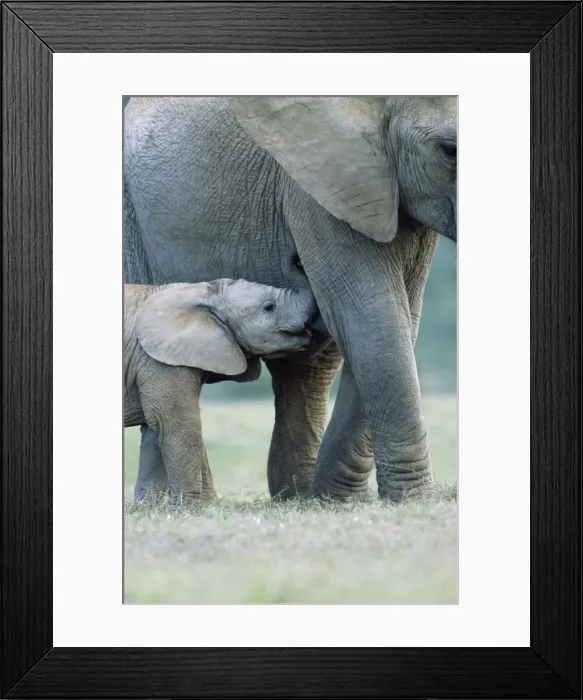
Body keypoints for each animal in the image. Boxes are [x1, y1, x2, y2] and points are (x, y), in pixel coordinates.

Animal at [124, 278, 319, 501]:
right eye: (269, 307)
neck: (206, 293)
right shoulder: (158, 359)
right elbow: (176, 423)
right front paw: (191, 506)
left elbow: (154, 427)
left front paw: (147, 505)